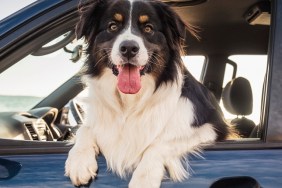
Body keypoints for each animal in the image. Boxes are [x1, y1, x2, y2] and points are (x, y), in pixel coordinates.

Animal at [65, 0, 229, 187]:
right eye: (113, 26)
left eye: (148, 28)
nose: (129, 48)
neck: (130, 102)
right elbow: (84, 129)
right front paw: (79, 163)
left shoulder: (211, 128)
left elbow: (159, 144)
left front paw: (143, 179)